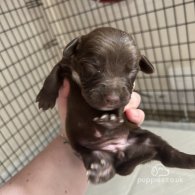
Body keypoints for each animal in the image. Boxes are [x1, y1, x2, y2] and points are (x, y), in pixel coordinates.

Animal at [36, 26, 195, 184]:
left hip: (148, 138)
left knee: (167, 155)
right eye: (91, 66)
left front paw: (111, 119)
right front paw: (45, 98)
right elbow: (53, 74)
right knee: (98, 160)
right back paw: (101, 171)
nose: (112, 98)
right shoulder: (65, 63)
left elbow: (121, 106)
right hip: (89, 150)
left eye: (132, 71)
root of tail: (120, 153)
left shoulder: (126, 94)